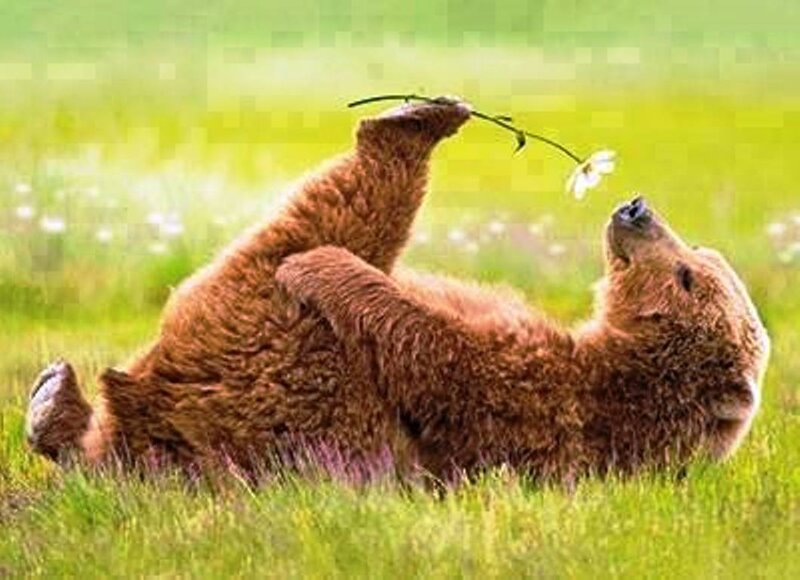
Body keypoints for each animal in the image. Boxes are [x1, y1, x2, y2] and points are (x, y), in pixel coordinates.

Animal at [25, 98, 770, 484]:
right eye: (701, 255)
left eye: (687, 275)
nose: (636, 208)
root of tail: (149, 418)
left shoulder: (547, 403)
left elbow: (440, 351)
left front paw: (326, 268)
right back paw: (52, 397)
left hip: (261, 354)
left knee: (327, 219)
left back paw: (402, 131)